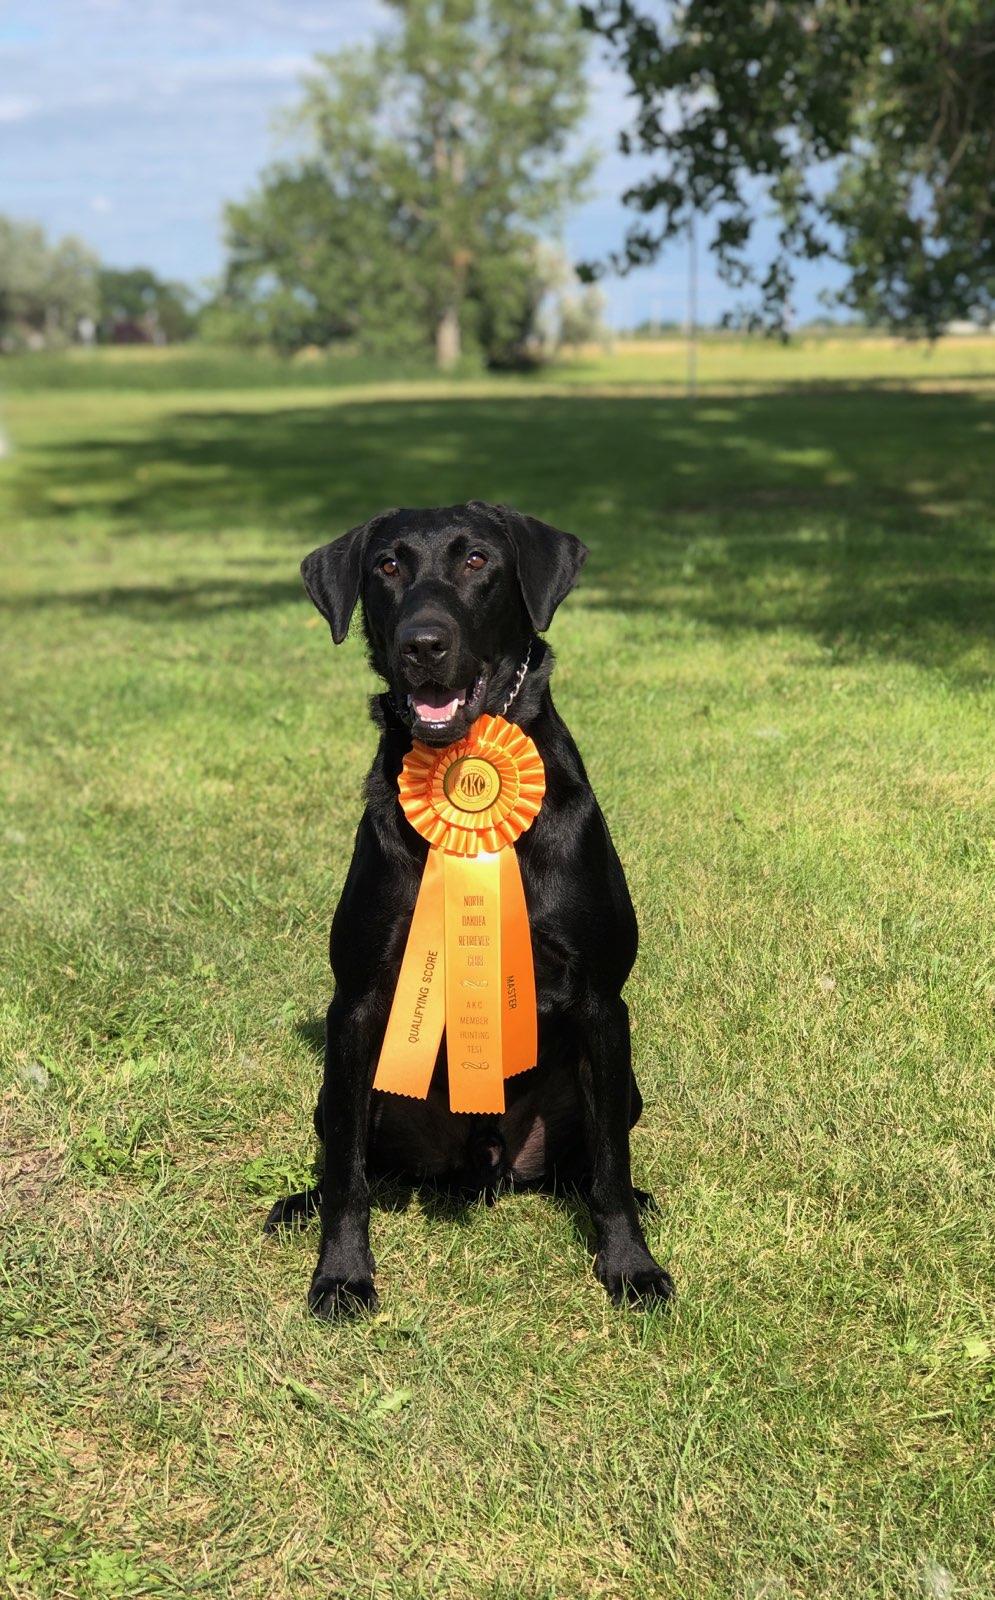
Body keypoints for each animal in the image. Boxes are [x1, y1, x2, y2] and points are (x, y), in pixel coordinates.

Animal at [270, 496, 678, 1312]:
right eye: (387, 565)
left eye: (477, 561)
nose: (422, 645)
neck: (461, 760)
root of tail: (484, 1163)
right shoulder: (357, 1004)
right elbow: (348, 1176)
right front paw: (341, 1273)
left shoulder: (602, 1001)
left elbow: (611, 1167)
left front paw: (629, 1265)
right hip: (340, 1087)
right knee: (354, 1161)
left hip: (622, 1087)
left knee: (587, 1164)